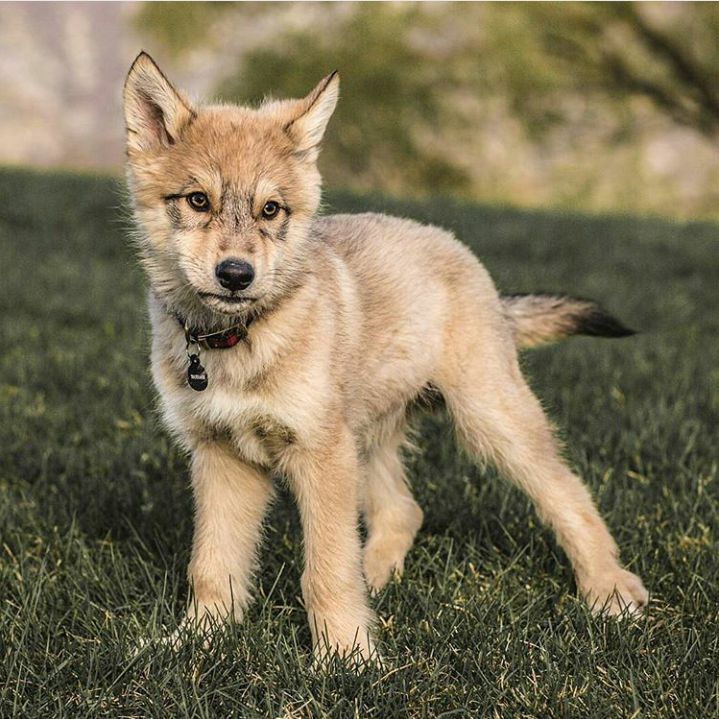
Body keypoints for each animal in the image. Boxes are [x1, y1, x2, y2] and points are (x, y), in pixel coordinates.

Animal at [122, 53, 648, 668]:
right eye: (197, 200)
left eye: (271, 209)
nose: (235, 275)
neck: (235, 342)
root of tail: (462, 256)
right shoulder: (221, 456)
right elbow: (212, 566)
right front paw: (195, 642)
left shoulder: (318, 454)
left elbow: (324, 571)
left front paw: (347, 660)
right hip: (367, 437)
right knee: (403, 510)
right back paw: (375, 580)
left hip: (490, 421)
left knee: (569, 493)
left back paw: (610, 591)